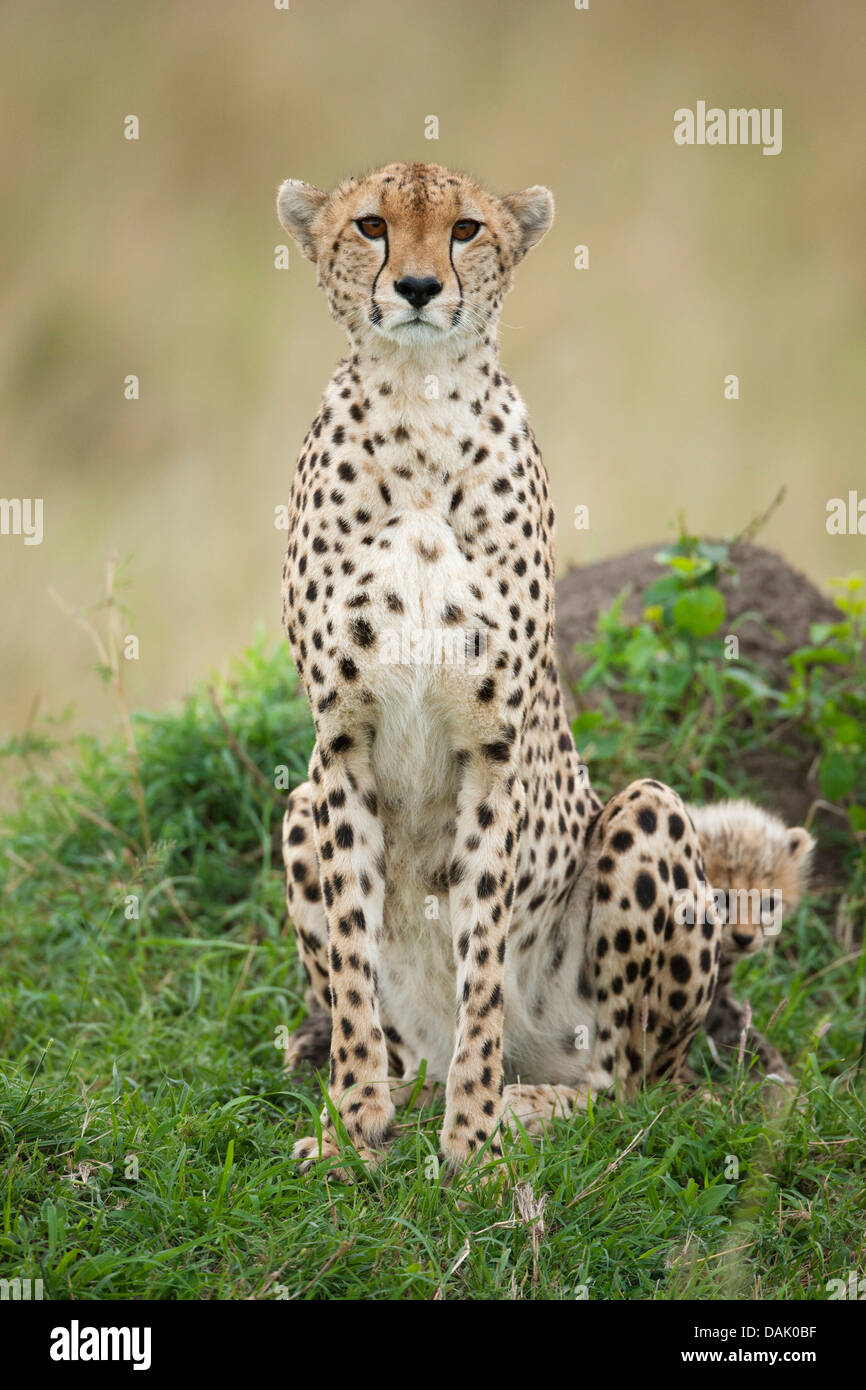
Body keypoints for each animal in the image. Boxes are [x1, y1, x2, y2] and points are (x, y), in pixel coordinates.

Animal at [272, 159, 811, 1173]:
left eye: (466, 229)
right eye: (370, 226)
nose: (416, 287)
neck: (417, 406)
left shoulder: (494, 750)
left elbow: (483, 957)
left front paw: (472, 1145)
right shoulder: (342, 746)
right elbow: (356, 969)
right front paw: (354, 1129)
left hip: (645, 818)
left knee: (630, 1090)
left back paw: (525, 1105)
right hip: (298, 808)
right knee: (414, 1042)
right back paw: (398, 1096)